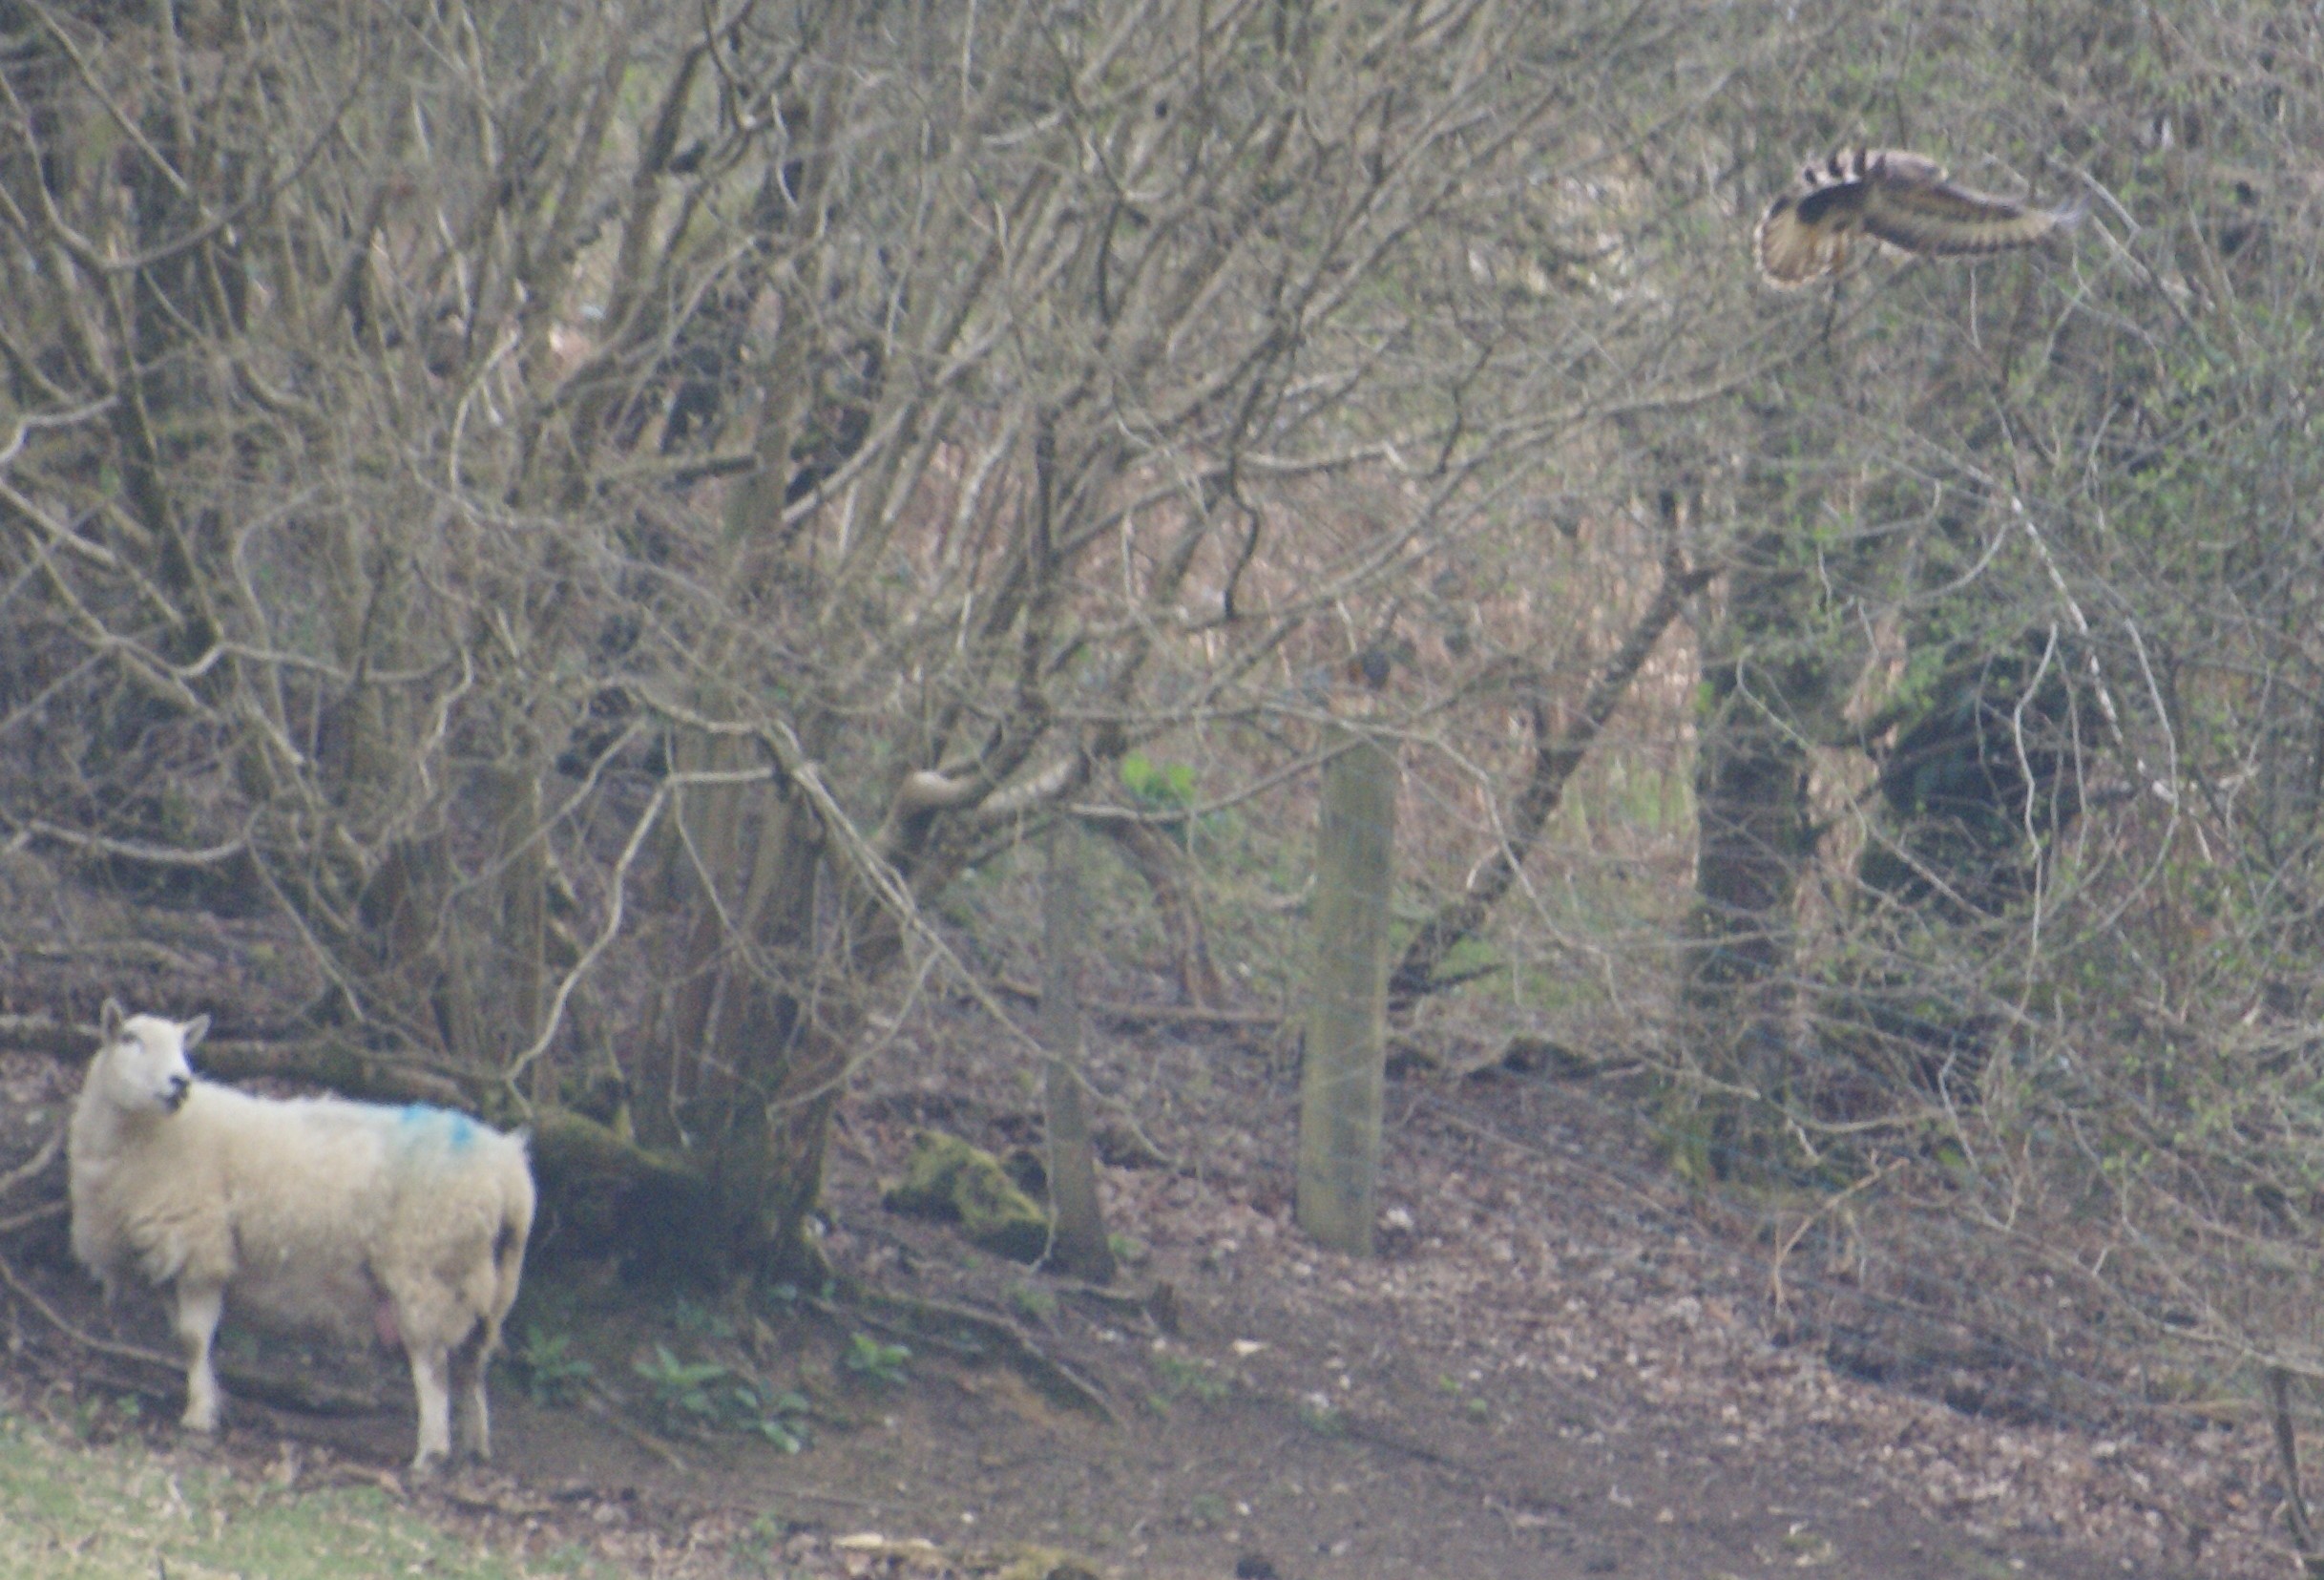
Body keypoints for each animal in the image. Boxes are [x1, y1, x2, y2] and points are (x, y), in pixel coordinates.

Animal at [67, 1000, 536, 1471]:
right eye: (130, 1039)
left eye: (184, 1046)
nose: (181, 1082)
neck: (153, 1135)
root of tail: (509, 1173)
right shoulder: (172, 1261)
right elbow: (185, 1341)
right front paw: (210, 1400)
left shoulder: (202, 1245)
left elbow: (195, 1339)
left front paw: (198, 1418)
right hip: (488, 1287)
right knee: (472, 1367)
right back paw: (477, 1447)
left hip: (427, 1271)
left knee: (434, 1366)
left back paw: (430, 1454)